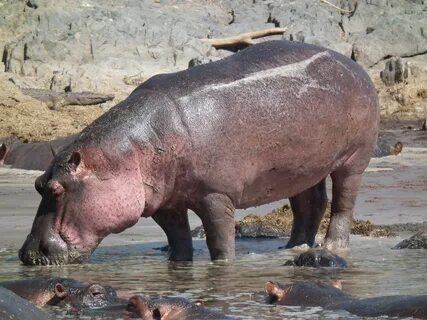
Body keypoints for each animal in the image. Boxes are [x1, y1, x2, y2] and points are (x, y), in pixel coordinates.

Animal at [20, 40, 382, 264]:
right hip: (302, 166)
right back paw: (293, 247)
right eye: (37, 184)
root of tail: (353, 65)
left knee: (343, 204)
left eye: (57, 189)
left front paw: (223, 265)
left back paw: (332, 246)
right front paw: (178, 264)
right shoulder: (164, 202)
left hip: (354, 159)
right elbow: (178, 237)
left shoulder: (216, 195)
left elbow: (219, 240)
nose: (26, 254)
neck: (127, 154)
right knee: (310, 204)